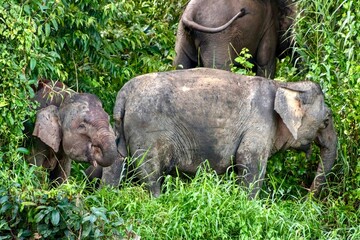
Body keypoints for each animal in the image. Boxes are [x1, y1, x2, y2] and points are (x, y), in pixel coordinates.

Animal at [103, 67, 338, 197]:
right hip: (146, 131)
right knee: (150, 174)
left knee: (116, 163)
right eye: (326, 120)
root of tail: (123, 94)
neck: (285, 84)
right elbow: (249, 162)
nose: (306, 199)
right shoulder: (261, 123)